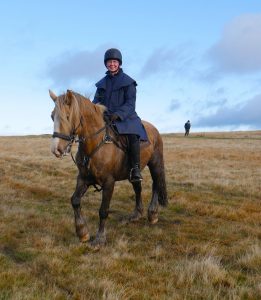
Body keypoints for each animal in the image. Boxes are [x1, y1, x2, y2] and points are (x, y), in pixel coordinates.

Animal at [48, 89, 167, 248]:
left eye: (67, 116)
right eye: (52, 116)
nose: (56, 149)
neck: (96, 143)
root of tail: (154, 129)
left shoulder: (109, 182)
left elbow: (103, 210)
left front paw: (99, 238)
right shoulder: (83, 178)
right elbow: (75, 201)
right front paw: (82, 232)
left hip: (155, 163)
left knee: (156, 184)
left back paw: (152, 214)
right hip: (133, 173)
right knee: (138, 188)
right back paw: (136, 214)